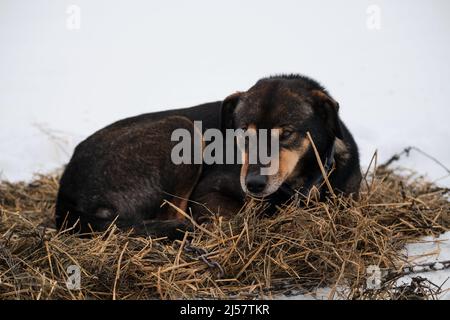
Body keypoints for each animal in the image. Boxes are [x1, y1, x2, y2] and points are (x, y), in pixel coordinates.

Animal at [55, 74, 362, 238]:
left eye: (286, 133)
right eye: (243, 132)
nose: (253, 184)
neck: (299, 183)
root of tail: (66, 198)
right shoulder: (206, 195)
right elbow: (242, 215)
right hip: (181, 129)